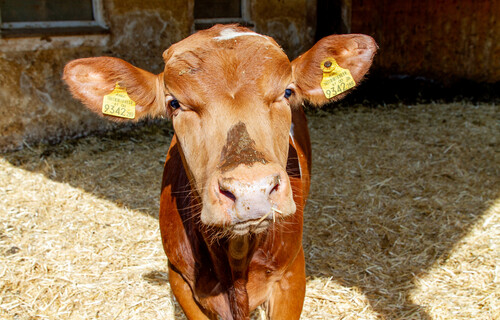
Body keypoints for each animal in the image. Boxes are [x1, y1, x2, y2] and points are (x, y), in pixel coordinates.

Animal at [63, 23, 376, 318]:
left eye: (287, 92)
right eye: (174, 103)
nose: (251, 190)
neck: (237, 255)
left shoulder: (291, 274)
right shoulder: (179, 279)